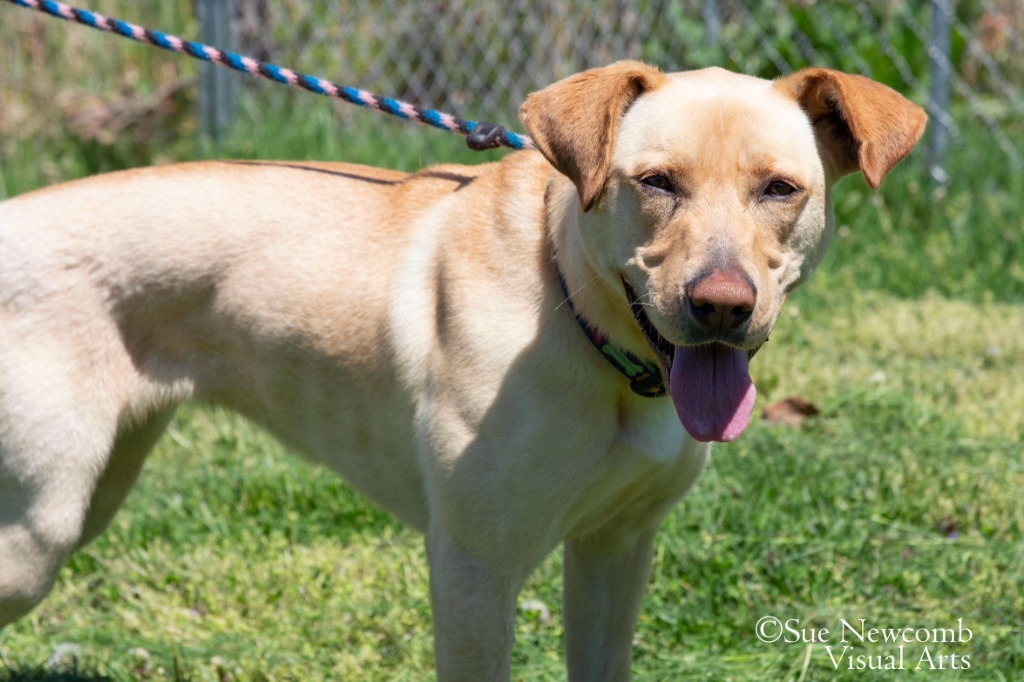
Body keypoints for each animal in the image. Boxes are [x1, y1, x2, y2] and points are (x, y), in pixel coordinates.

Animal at [0, 62, 929, 675]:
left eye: (780, 189)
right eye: (657, 182)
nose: (723, 307)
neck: (583, 322)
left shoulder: (616, 548)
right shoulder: (475, 566)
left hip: (100, 486)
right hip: (40, 531)